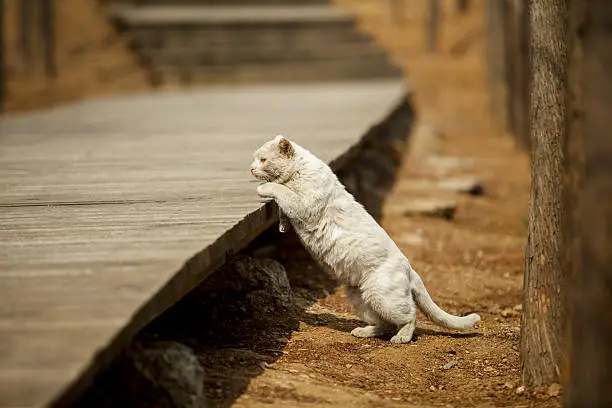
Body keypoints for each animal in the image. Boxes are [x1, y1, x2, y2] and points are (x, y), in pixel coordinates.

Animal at [249, 135, 478, 342]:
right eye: (255, 159)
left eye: (263, 160)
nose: (251, 168)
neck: (298, 171)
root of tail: (409, 268)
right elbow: (283, 206)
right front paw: (282, 225)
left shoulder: (304, 205)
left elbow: (281, 192)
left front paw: (263, 190)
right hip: (360, 299)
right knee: (384, 324)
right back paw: (364, 332)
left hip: (384, 297)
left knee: (409, 316)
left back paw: (401, 338)